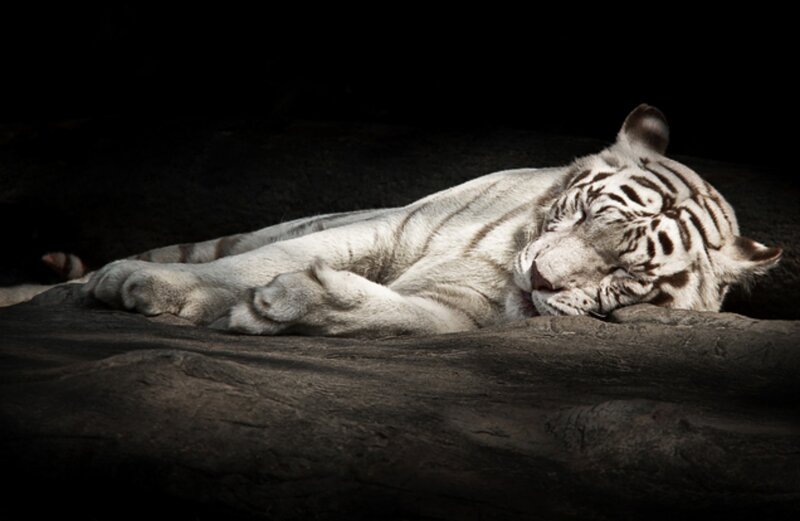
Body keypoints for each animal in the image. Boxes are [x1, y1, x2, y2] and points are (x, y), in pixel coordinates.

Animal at [1, 105, 781, 336]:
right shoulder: (383, 228)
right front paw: (139, 283)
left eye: (627, 271)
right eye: (584, 212)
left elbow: (397, 312)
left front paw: (293, 303)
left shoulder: (457, 311)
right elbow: (254, 262)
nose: (539, 275)